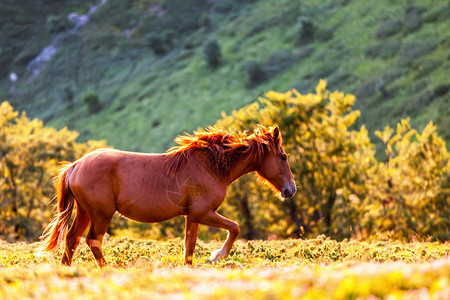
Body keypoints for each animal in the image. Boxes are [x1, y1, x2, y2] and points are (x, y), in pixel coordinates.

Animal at [35, 125, 296, 266]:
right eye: (283, 157)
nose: (291, 190)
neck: (212, 166)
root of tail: (75, 165)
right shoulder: (204, 212)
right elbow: (235, 227)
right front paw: (217, 256)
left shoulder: (193, 216)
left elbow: (189, 245)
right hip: (101, 214)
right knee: (93, 241)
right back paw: (109, 269)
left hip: (85, 212)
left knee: (72, 239)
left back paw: (67, 271)